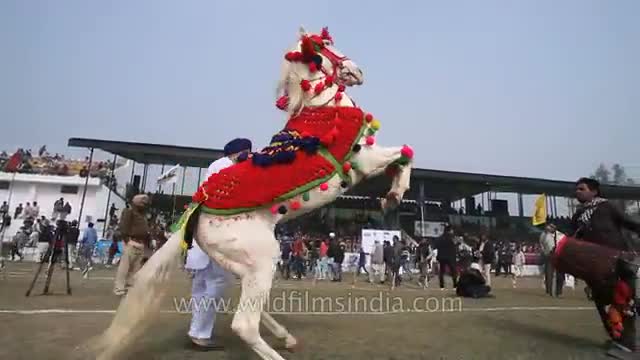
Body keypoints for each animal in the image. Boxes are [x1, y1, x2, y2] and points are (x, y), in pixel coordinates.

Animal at [92, 27, 416, 360]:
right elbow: (405, 155)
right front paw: (393, 196)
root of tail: (197, 210)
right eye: (326, 44)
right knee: (244, 323)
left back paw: (283, 336)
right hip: (263, 257)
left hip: (241, 264)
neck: (323, 109)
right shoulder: (364, 160)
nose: (357, 70)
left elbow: (403, 156)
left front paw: (391, 197)